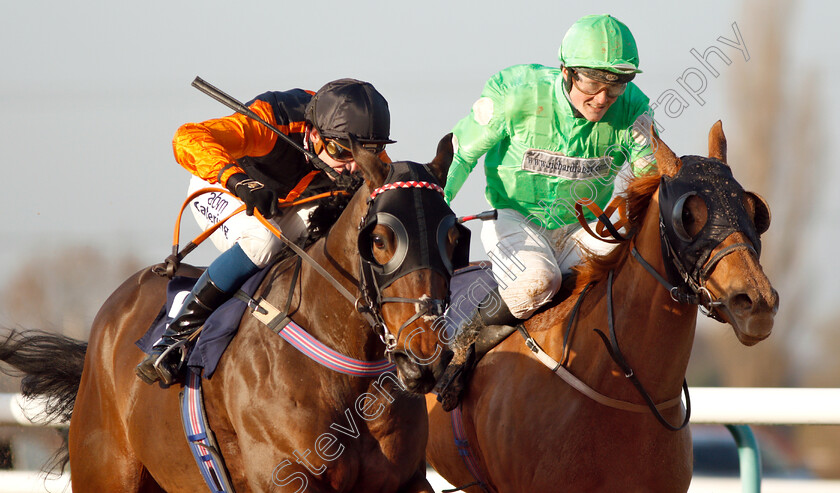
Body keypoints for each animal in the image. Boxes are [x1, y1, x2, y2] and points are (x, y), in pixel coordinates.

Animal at [0, 135, 462, 492]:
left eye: (454, 235)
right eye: (380, 239)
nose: (426, 357)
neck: (347, 379)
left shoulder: (406, 480)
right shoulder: (284, 479)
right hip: (106, 472)